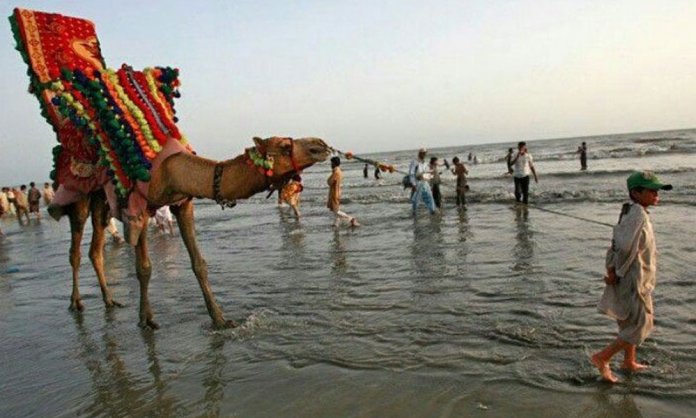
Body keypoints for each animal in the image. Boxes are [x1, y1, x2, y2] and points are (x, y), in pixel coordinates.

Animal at [59, 137, 328, 330]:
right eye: (284, 146)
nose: (321, 145)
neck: (171, 170)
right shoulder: (139, 207)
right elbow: (144, 267)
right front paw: (146, 319)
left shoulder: (183, 203)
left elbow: (199, 263)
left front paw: (220, 320)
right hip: (80, 197)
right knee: (76, 250)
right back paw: (76, 301)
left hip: (101, 203)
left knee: (95, 250)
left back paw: (109, 300)